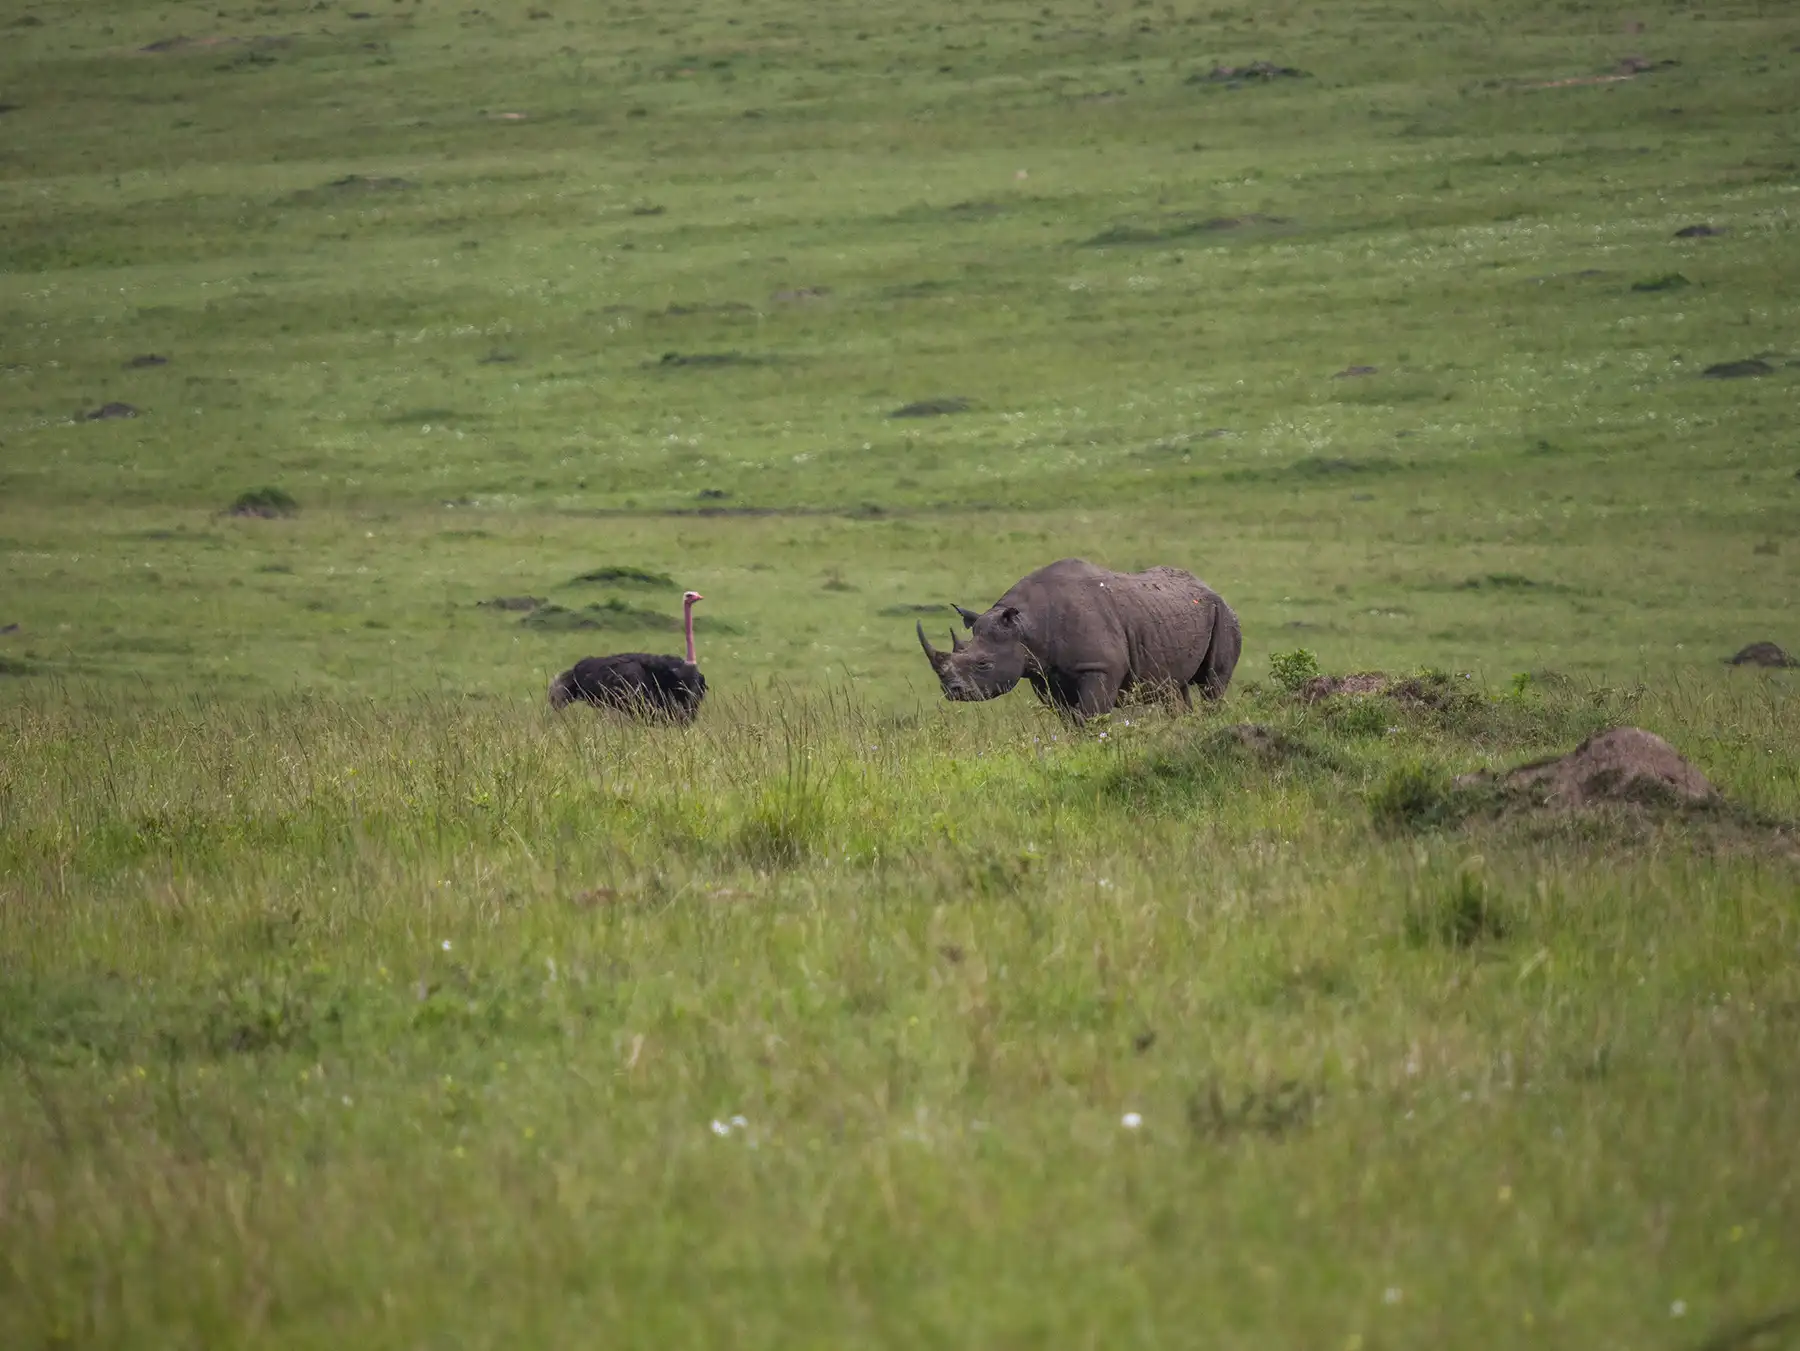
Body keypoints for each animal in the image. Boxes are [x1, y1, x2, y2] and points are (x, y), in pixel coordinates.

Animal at [916, 558, 1242, 722]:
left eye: (983, 664)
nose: (951, 690)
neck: (1027, 626)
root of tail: (1209, 587)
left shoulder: (1099, 667)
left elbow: (1090, 716)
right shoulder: (1044, 674)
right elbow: (1068, 720)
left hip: (1225, 614)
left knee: (1213, 685)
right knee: (1175, 688)